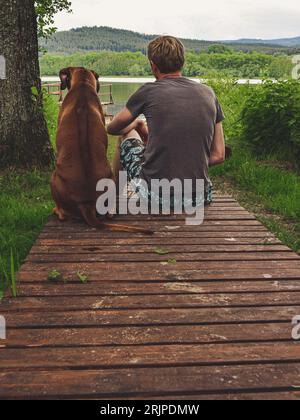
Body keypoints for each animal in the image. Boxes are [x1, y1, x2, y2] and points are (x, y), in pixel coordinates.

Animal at [51, 67, 152, 235]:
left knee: (63, 214)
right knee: (110, 213)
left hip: (53, 178)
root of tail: (86, 203)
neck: (82, 84)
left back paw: (57, 211)